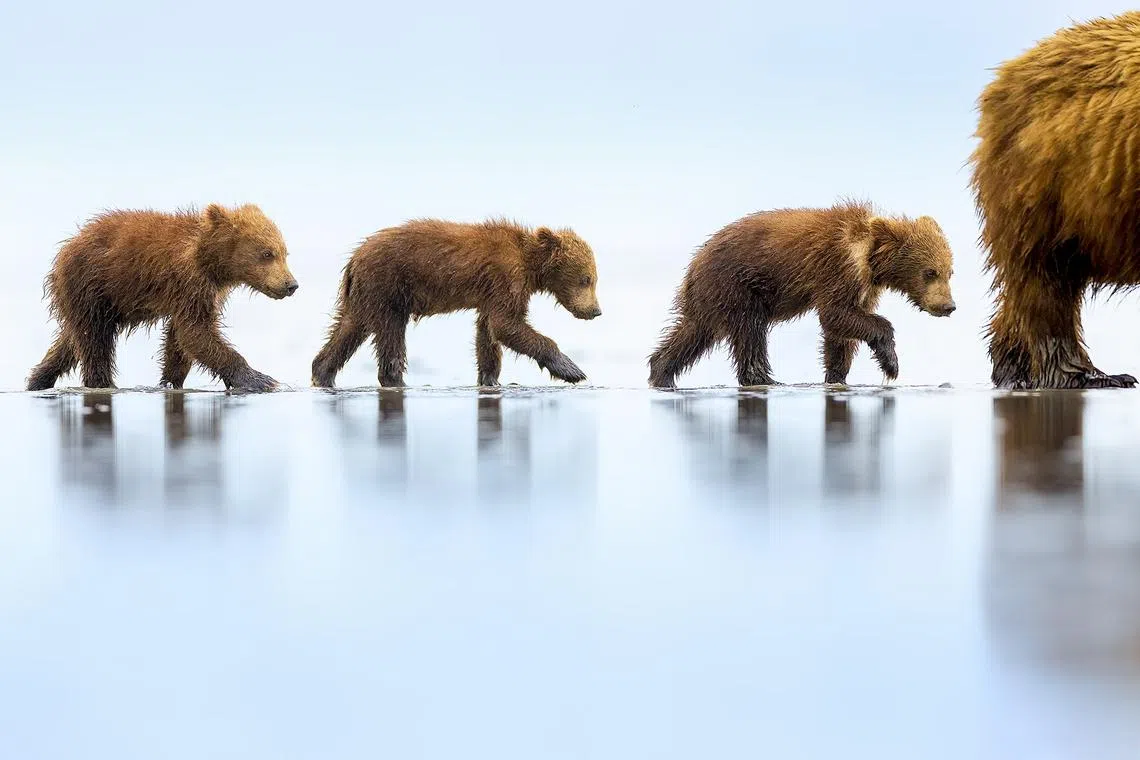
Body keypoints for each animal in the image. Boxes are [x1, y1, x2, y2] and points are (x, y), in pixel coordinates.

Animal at [27, 204, 298, 393]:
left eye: (285, 253)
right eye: (267, 253)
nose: (291, 285)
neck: (210, 262)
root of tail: (68, 245)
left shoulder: (204, 292)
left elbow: (179, 339)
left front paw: (169, 381)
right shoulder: (189, 282)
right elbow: (195, 332)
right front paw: (261, 379)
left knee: (71, 340)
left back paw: (38, 379)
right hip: (90, 285)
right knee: (95, 340)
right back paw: (102, 383)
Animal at [311, 218, 602, 388]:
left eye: (594, 278)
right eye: (586, 279)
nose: (596, 311)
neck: (530, 263)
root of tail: (354, 258)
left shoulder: (491, 293)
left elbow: (488, 333)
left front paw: (490, 379)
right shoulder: (506, 277)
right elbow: (506, 324)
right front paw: (571, 369)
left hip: (366, 294)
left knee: (349, 328)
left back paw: (322, 373)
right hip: (388, 287)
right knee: (390, 336)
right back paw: (396, 380)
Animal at [647, 200, 955, 388]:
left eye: (950, 271)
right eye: (930, 272)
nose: (948, 306)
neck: (870, 259)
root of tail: (695, 262)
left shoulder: (864, 286)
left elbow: (841, 334)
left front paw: (836, 375)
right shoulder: (837, 267)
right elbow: (836, 315)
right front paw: (890, 363)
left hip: (711, 298)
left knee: (693, 332)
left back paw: (661, 371)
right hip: (737, 287)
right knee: (750, 332)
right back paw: (764, 378)